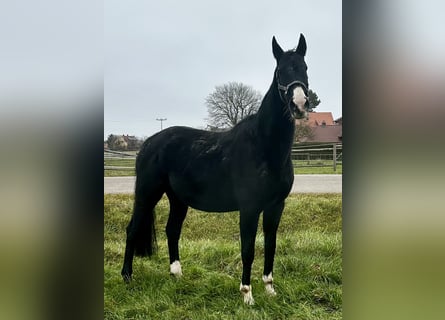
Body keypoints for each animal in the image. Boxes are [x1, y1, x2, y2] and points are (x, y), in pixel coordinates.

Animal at [121, 33, 308, 304]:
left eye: (305, 67)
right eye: (279, 71)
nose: (300, 104)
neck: (264, 147)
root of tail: (149, 143)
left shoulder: (276, 206)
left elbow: (271, 245)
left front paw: (270, 289)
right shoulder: (250, 208)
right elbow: (248, 248)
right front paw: (247, 295)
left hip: (177, 199)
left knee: (172, 230)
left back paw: (176, 274)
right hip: (147, 194)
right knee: (133, 229)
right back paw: (127, 276)